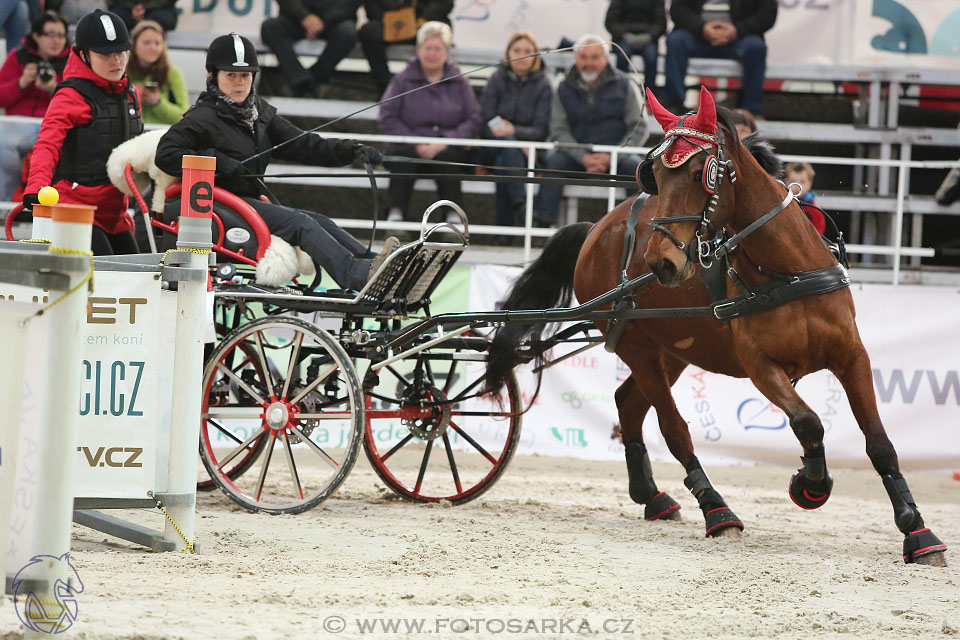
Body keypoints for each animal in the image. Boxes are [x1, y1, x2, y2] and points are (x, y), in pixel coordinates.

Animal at [484, 87, 948, 568]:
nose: (661, 263)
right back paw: (716, 509)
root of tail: (597, 228)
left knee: (628, 403)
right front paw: (810, 485)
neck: (787, 272)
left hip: (673, 350)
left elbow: (879, 443)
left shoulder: (852, 356)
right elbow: (808, 422)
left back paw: (653, 497)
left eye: (697, 173)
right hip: (637, 346)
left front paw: (917, 530)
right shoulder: (761, 366)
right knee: (674, 429)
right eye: (653, 174)